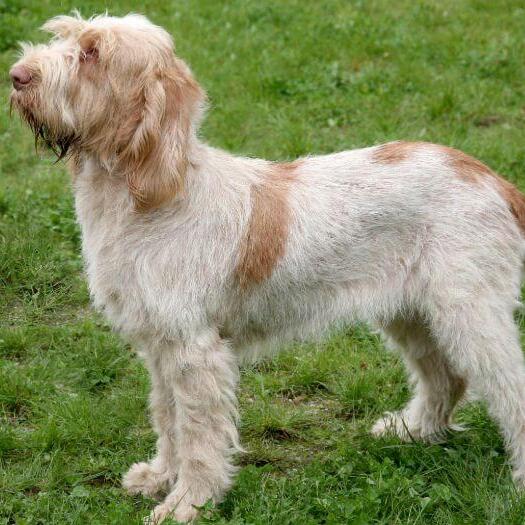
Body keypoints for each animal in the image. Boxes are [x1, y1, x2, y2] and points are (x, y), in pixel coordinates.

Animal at [9, 11, 525, 520]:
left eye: (92, 53)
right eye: (65, 37)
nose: (17, 76)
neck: (149, 197)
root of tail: (494, 179)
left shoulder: (195, 350)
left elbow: (198, 435)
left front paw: (188, 502)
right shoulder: (160, 346)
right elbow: (167, 417)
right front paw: (160, 477)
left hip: (469, 316)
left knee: (509, 387)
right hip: (412, 314)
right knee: (446, 377)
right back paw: (413, 430)